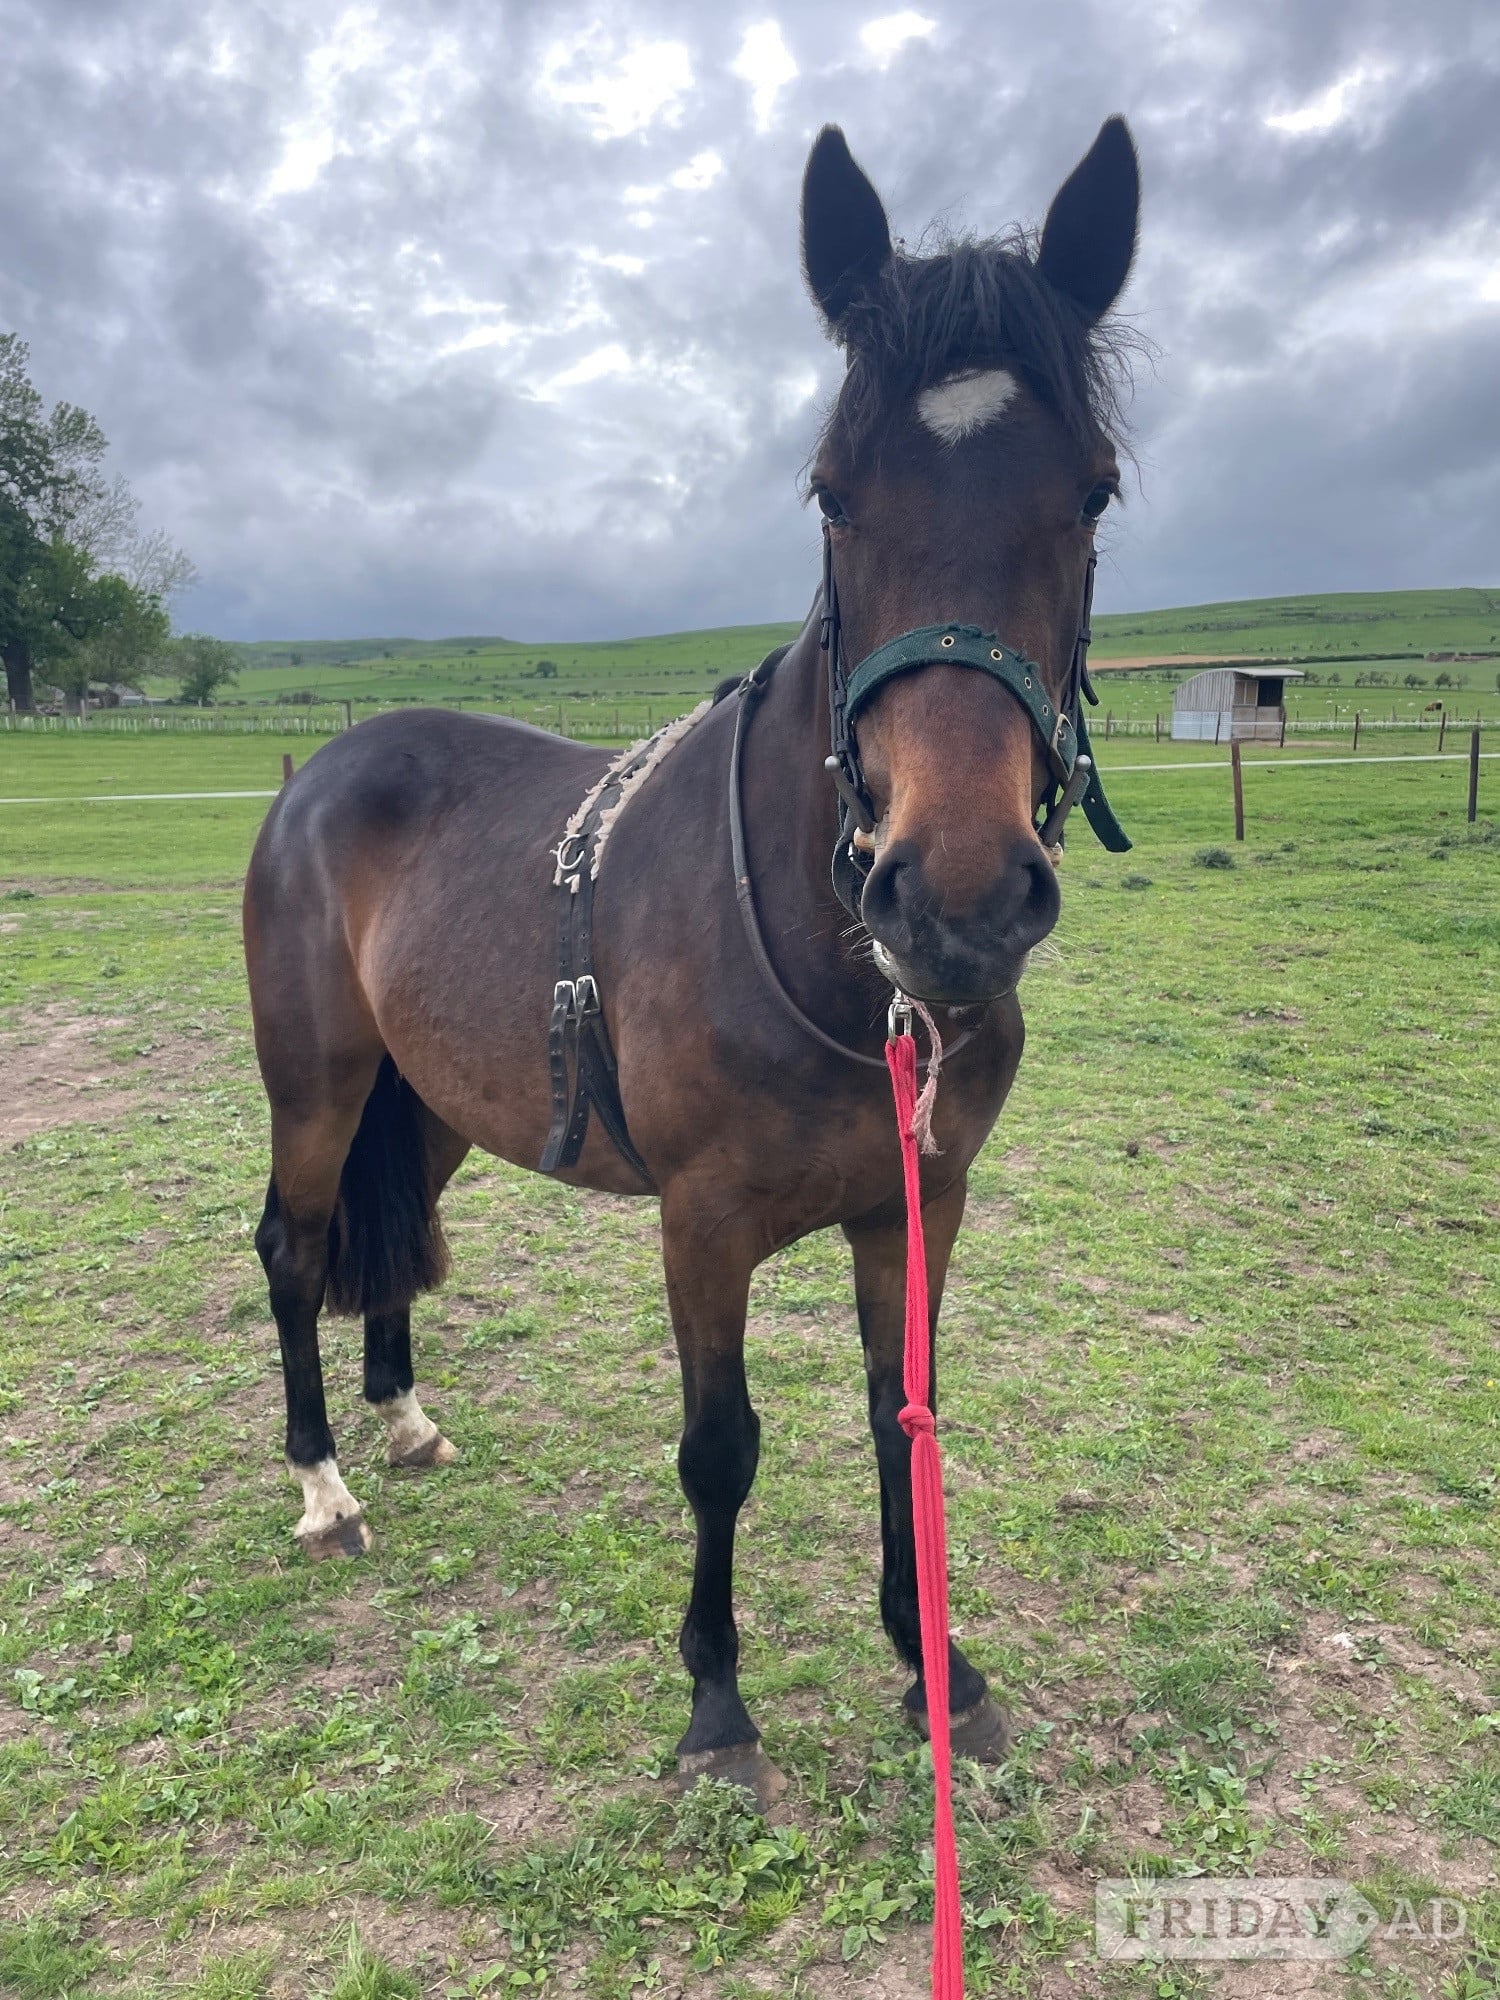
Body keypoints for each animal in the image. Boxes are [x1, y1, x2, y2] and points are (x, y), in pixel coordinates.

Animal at [243, 116, 1141, 1806]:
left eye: (1094, 494)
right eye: (832, 495)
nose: (959, 900)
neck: (833, 957)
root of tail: (326, 767)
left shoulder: (918, 1205)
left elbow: (900, 1416)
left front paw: (935, 1667)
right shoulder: (702, 1226)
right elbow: (720, 1450)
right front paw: (719, 1705)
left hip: (432, 1101)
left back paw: (404, 1419)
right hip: (318, 1084)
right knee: (291, 1245)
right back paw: (326, 1484)